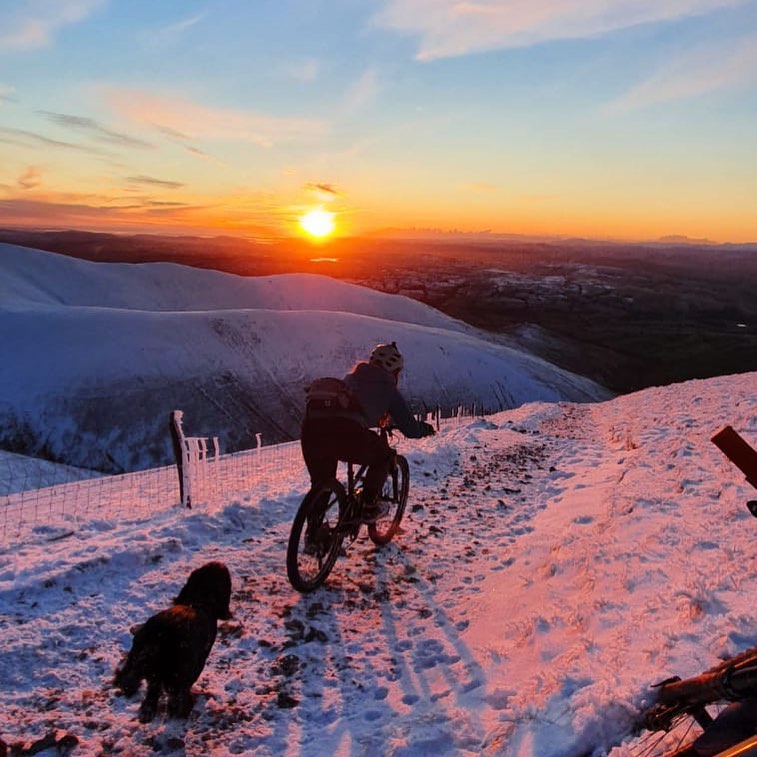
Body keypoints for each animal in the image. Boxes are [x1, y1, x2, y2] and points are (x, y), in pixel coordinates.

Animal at [113, 560, 232, 720]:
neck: (198, 601)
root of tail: (162, 633)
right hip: (180, 669)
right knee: (177, 696)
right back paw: (183, 711)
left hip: (137, 653)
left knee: (136, 682)